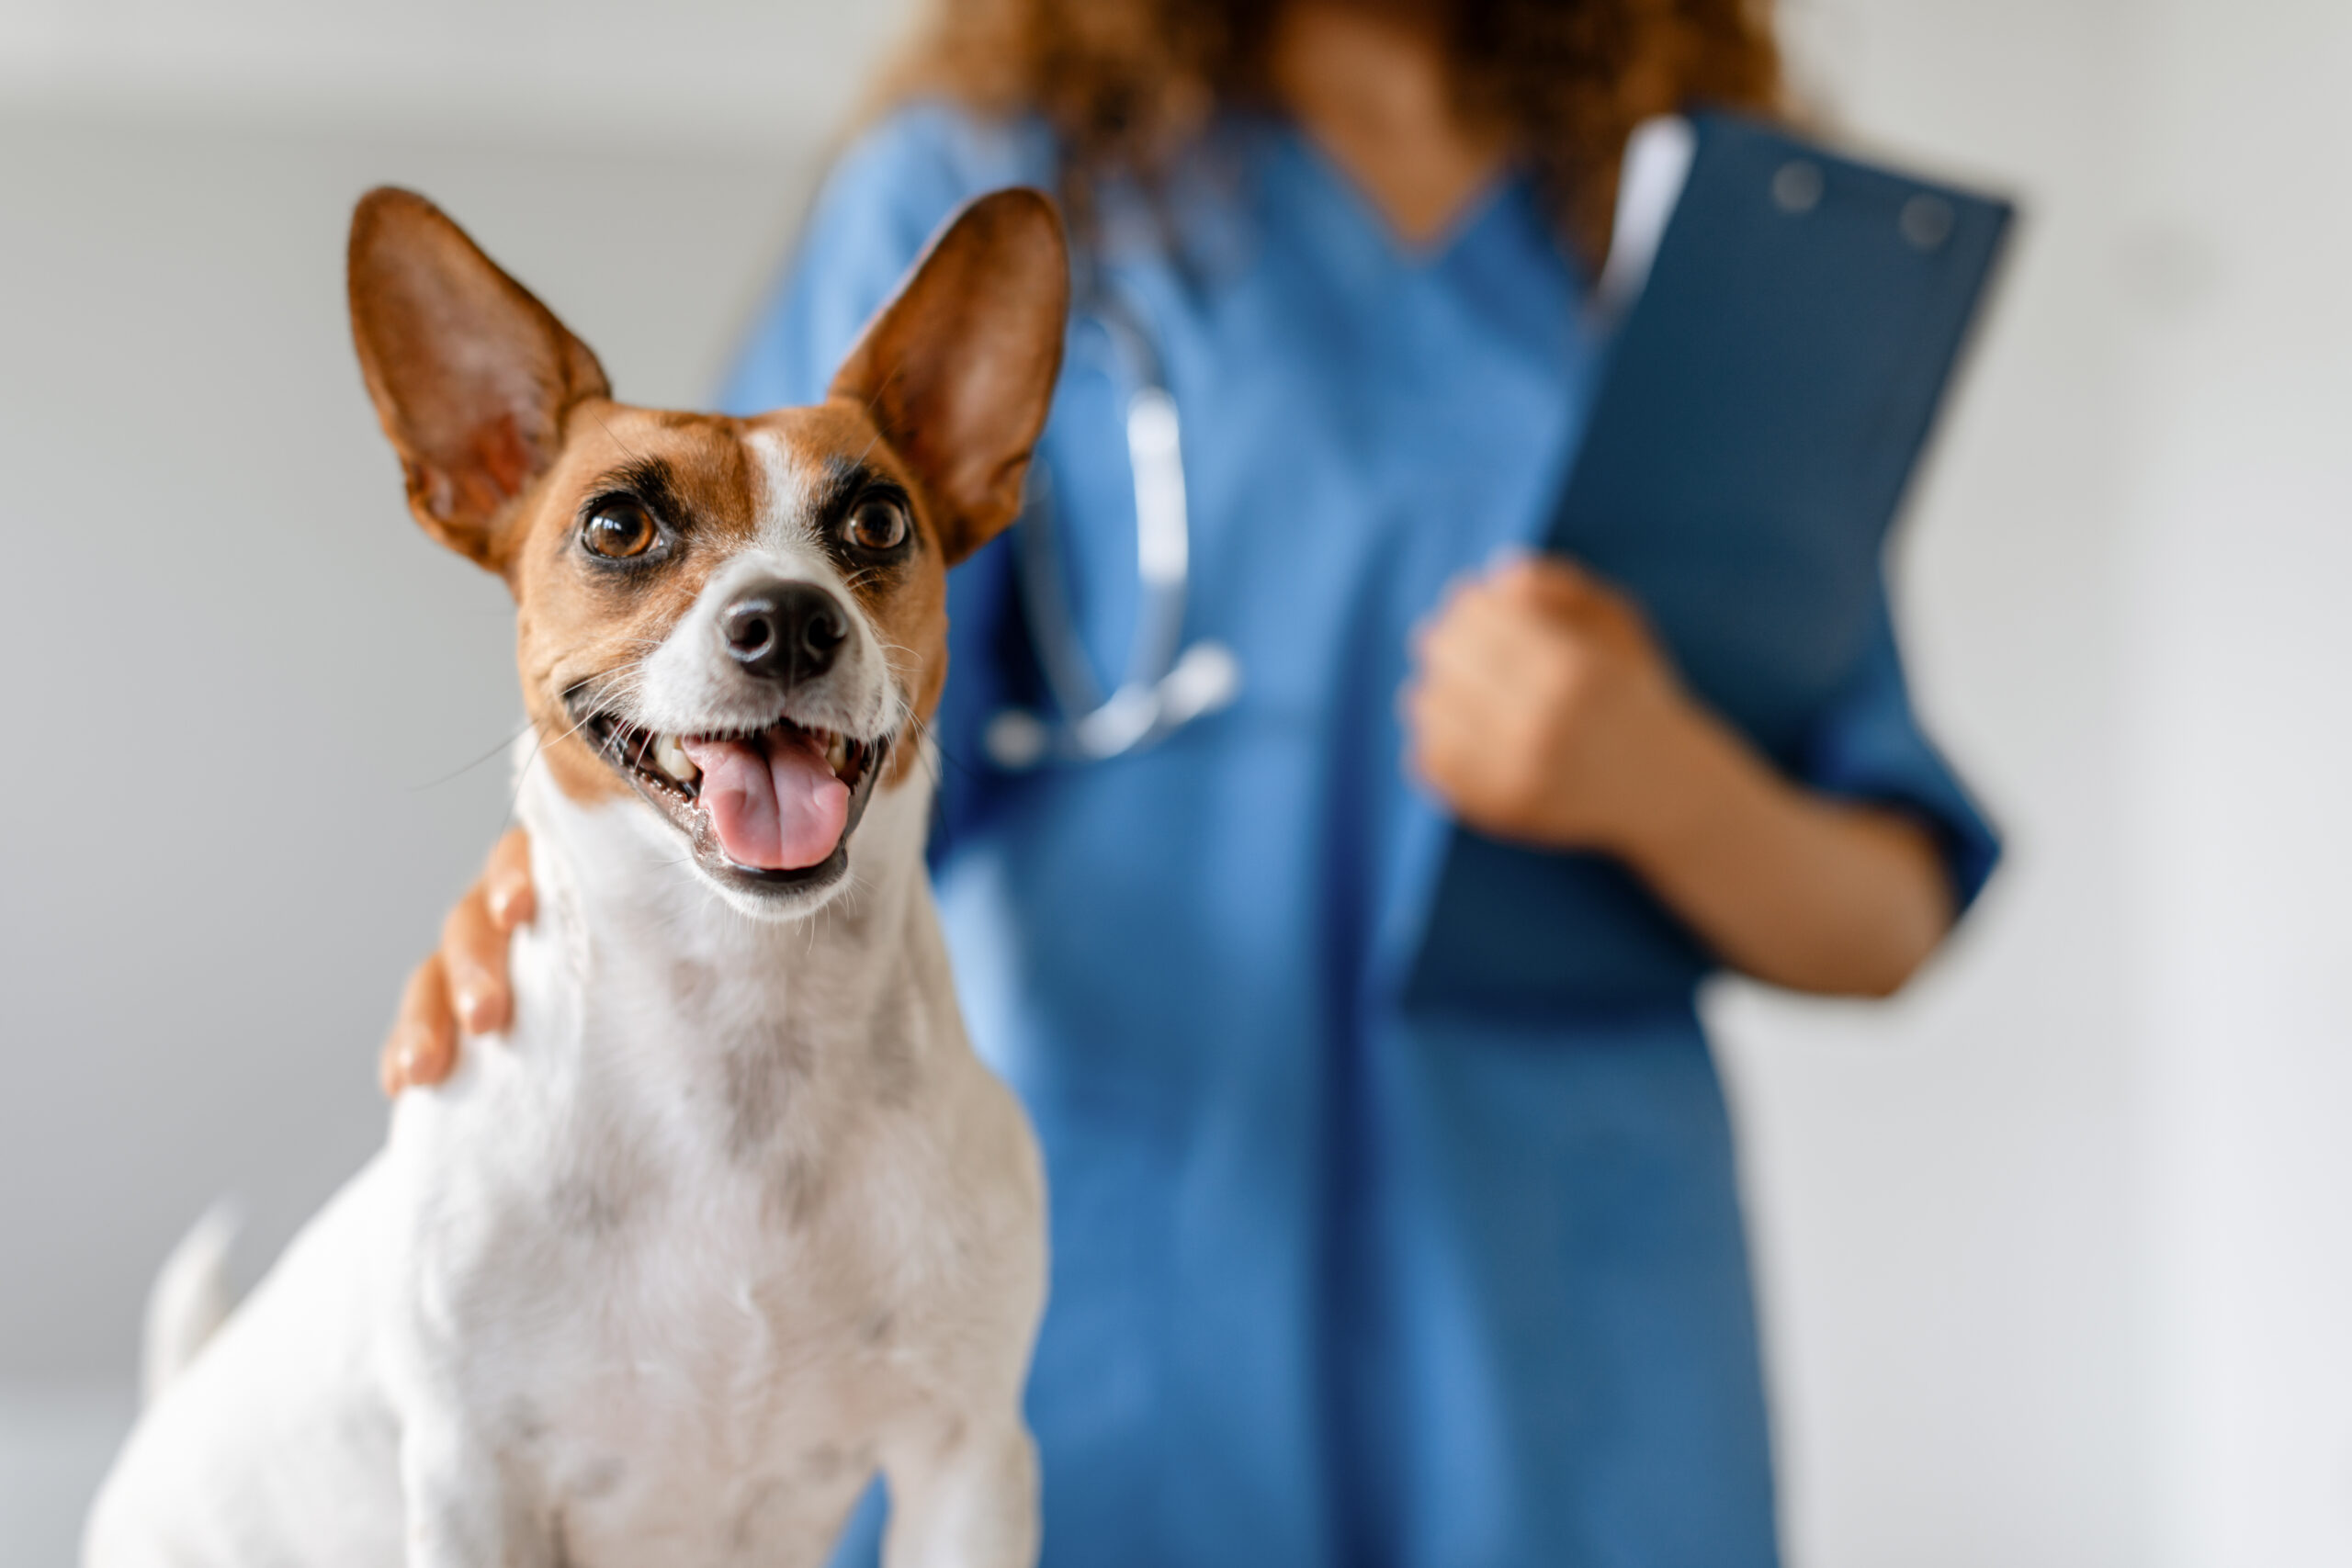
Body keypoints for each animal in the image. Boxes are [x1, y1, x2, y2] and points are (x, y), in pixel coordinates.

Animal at [83, 186, 1072, 1568]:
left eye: (877, 522)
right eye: (617, 525)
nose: (787, 621)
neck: (743, 1037)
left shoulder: (968, 1462)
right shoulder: (473, 1486)